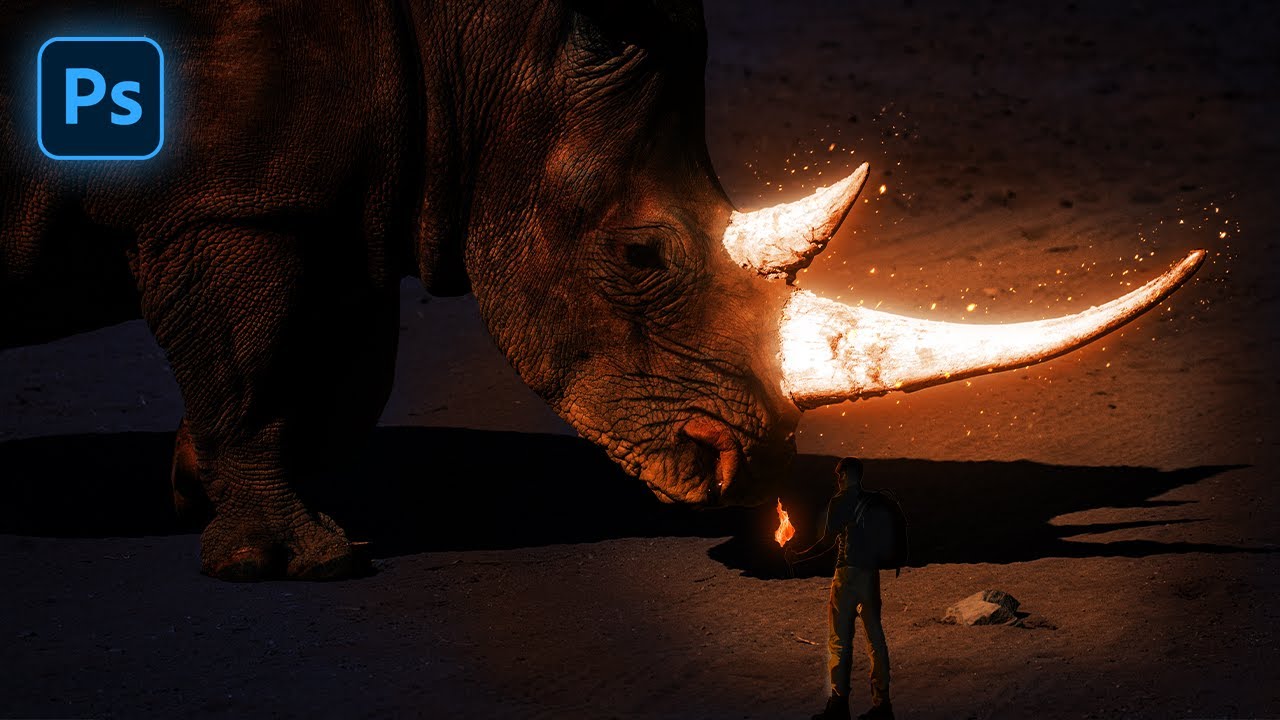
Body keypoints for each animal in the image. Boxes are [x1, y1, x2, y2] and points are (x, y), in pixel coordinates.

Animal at [0, 0, 1202, 580]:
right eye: (639, 259)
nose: (744, 466)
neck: (478, 43)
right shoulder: (233, 198)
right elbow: (254, 364)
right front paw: (299, 567)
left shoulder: (335, 190)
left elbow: (341, 370)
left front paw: (195, 487)